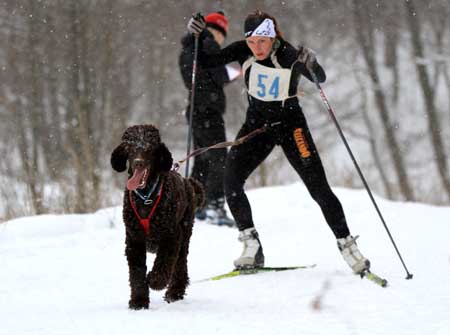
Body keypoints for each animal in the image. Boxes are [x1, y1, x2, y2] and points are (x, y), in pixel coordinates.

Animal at [111, 125, 205, 310]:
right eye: (130, 147)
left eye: (149, 148)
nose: (138, 162)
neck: (146, 197)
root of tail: (188, 182)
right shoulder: (134, 240)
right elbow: (137, 273)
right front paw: (138, 301)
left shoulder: (171, 236)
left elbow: (163, 264)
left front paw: (154, 281)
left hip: (184, 233)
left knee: (180, 265)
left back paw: (174, 292)